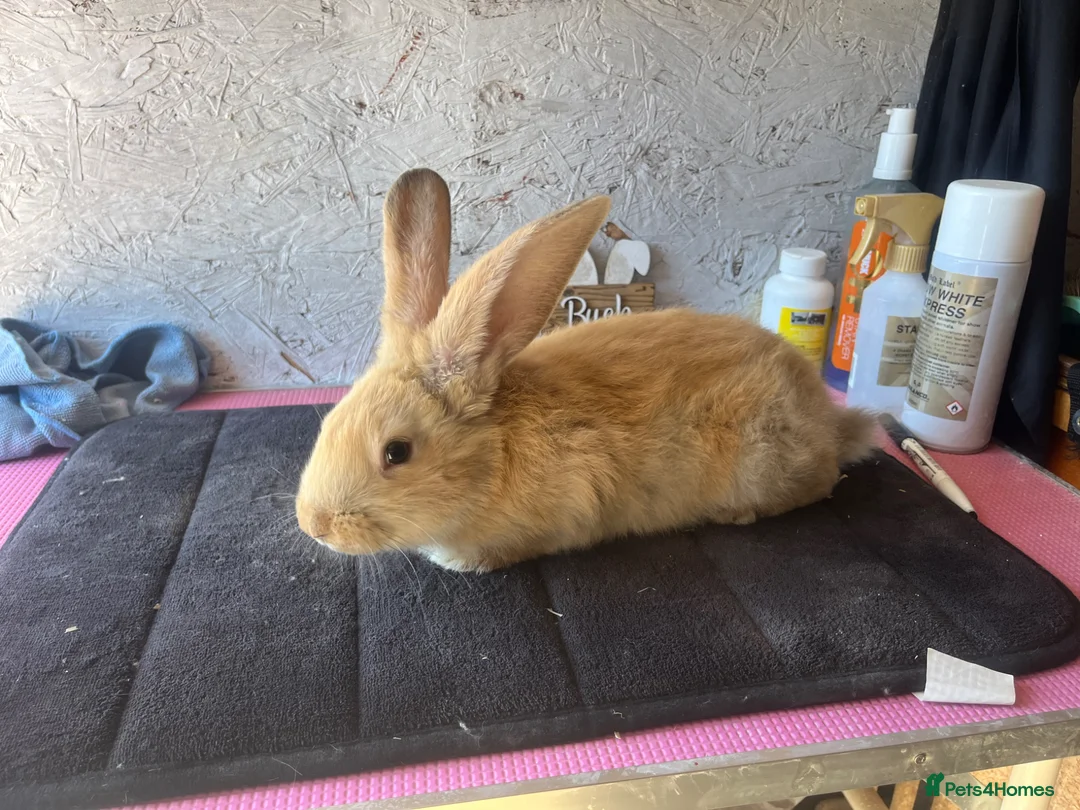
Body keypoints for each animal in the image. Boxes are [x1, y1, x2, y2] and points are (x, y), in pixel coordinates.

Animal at [294, 168, 877, 573]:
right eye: (329, 423)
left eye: (397, 453)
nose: (314, 525)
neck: (495, 449)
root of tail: (827, 422)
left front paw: (458, 561)